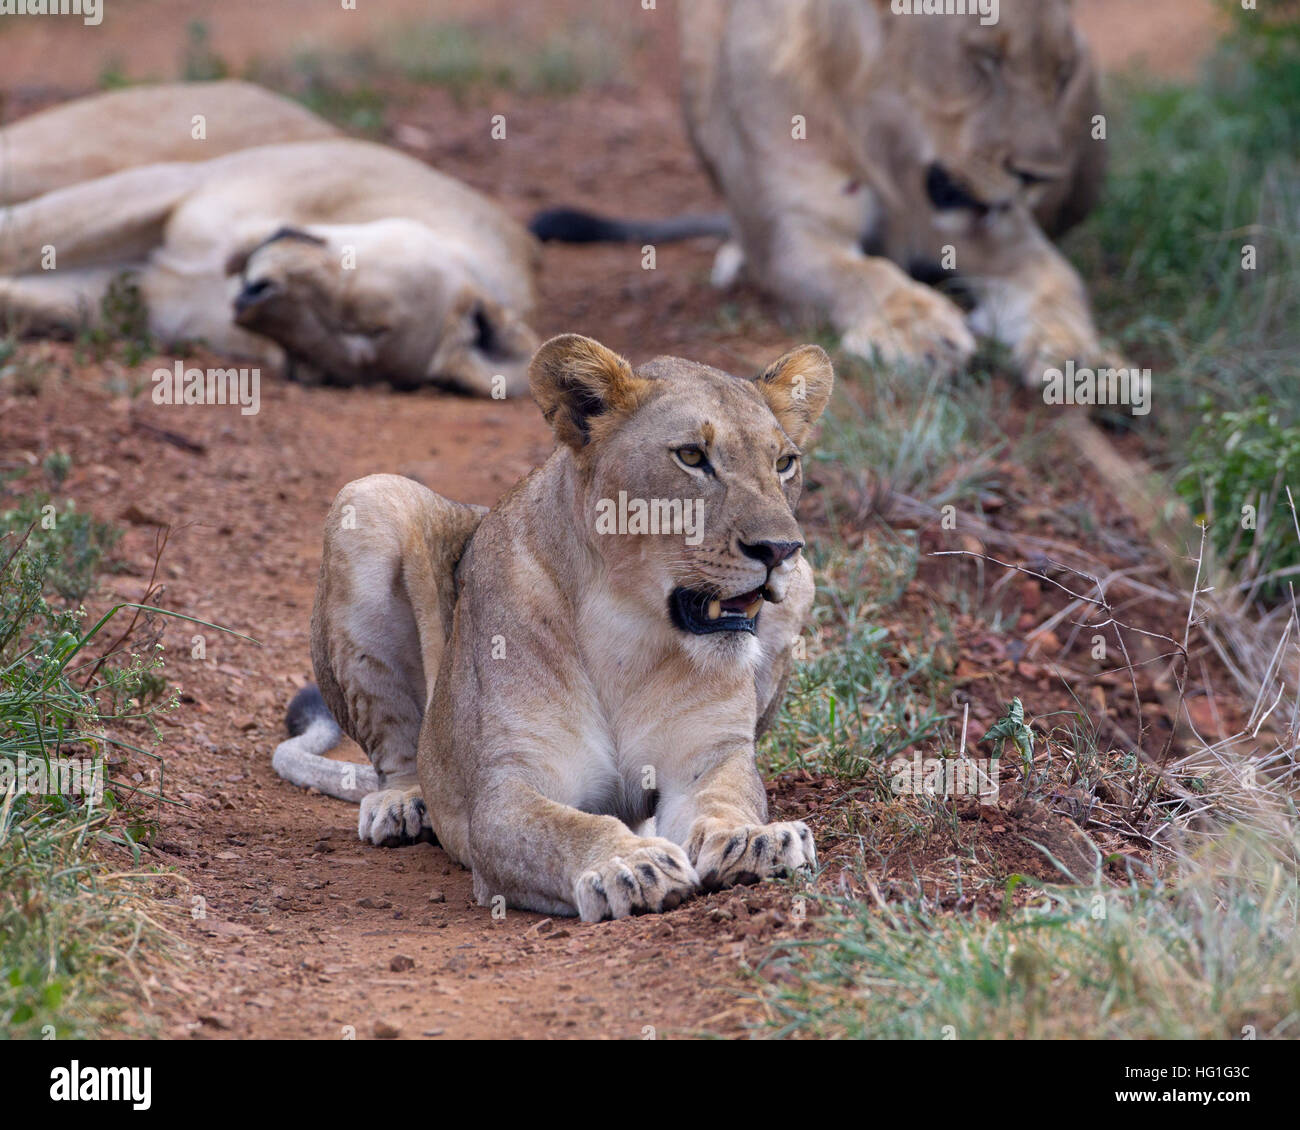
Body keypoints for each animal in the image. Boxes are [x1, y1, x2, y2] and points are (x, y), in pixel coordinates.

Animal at [0, 80, 538, 397]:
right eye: (361, 313)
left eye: (306, 362)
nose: (256, 297)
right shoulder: (176, 184)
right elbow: (22, 234)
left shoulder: (131, 296)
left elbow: (33, 296)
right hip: (66, 153)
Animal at [273, 332, 832, 915]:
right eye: (692, 456)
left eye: (785, 462)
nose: (780, 549)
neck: (628, 631)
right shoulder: (508, 787)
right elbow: (568, 828)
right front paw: (630, 865)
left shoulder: (707, 757)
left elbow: (725, 799)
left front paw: (753, 839)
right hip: (367, 501)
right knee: (401, 751)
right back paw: (404, 805)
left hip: (806, 583)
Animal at [533, 0, 1112, 384]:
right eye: (984, 60)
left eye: (1061, 73)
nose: (1041, 175)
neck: (893, 149)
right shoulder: (792, 233)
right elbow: (859, 273)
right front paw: (918, 329)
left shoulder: (998, 230)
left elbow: (1060, 280)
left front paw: (1083, 358)